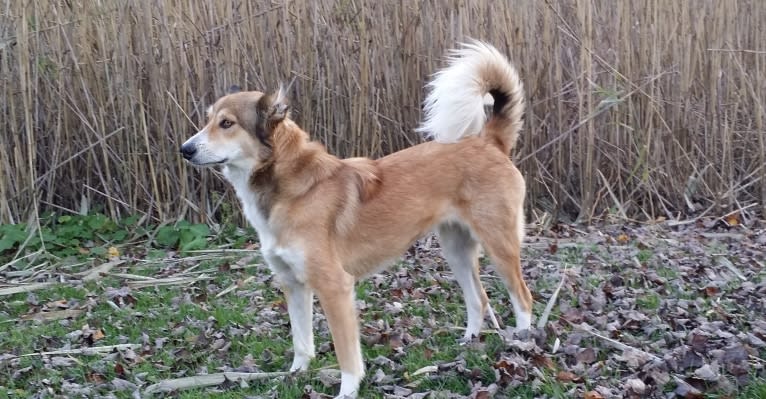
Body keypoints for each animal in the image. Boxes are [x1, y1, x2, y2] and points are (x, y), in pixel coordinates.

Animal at [182, 41, 536, 399]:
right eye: (208, 120)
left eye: (227, 123)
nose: (185, 149)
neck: (290, 188)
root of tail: (488, 142)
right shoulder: (293, 284)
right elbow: (301, 342)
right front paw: (294, 376)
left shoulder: (334, 286)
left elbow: (346, 353)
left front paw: (347, 390)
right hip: (456, 250)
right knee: (478, 298)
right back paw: (468, 342)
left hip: (499, 245)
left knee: (522, 298)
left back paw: (520, 346)